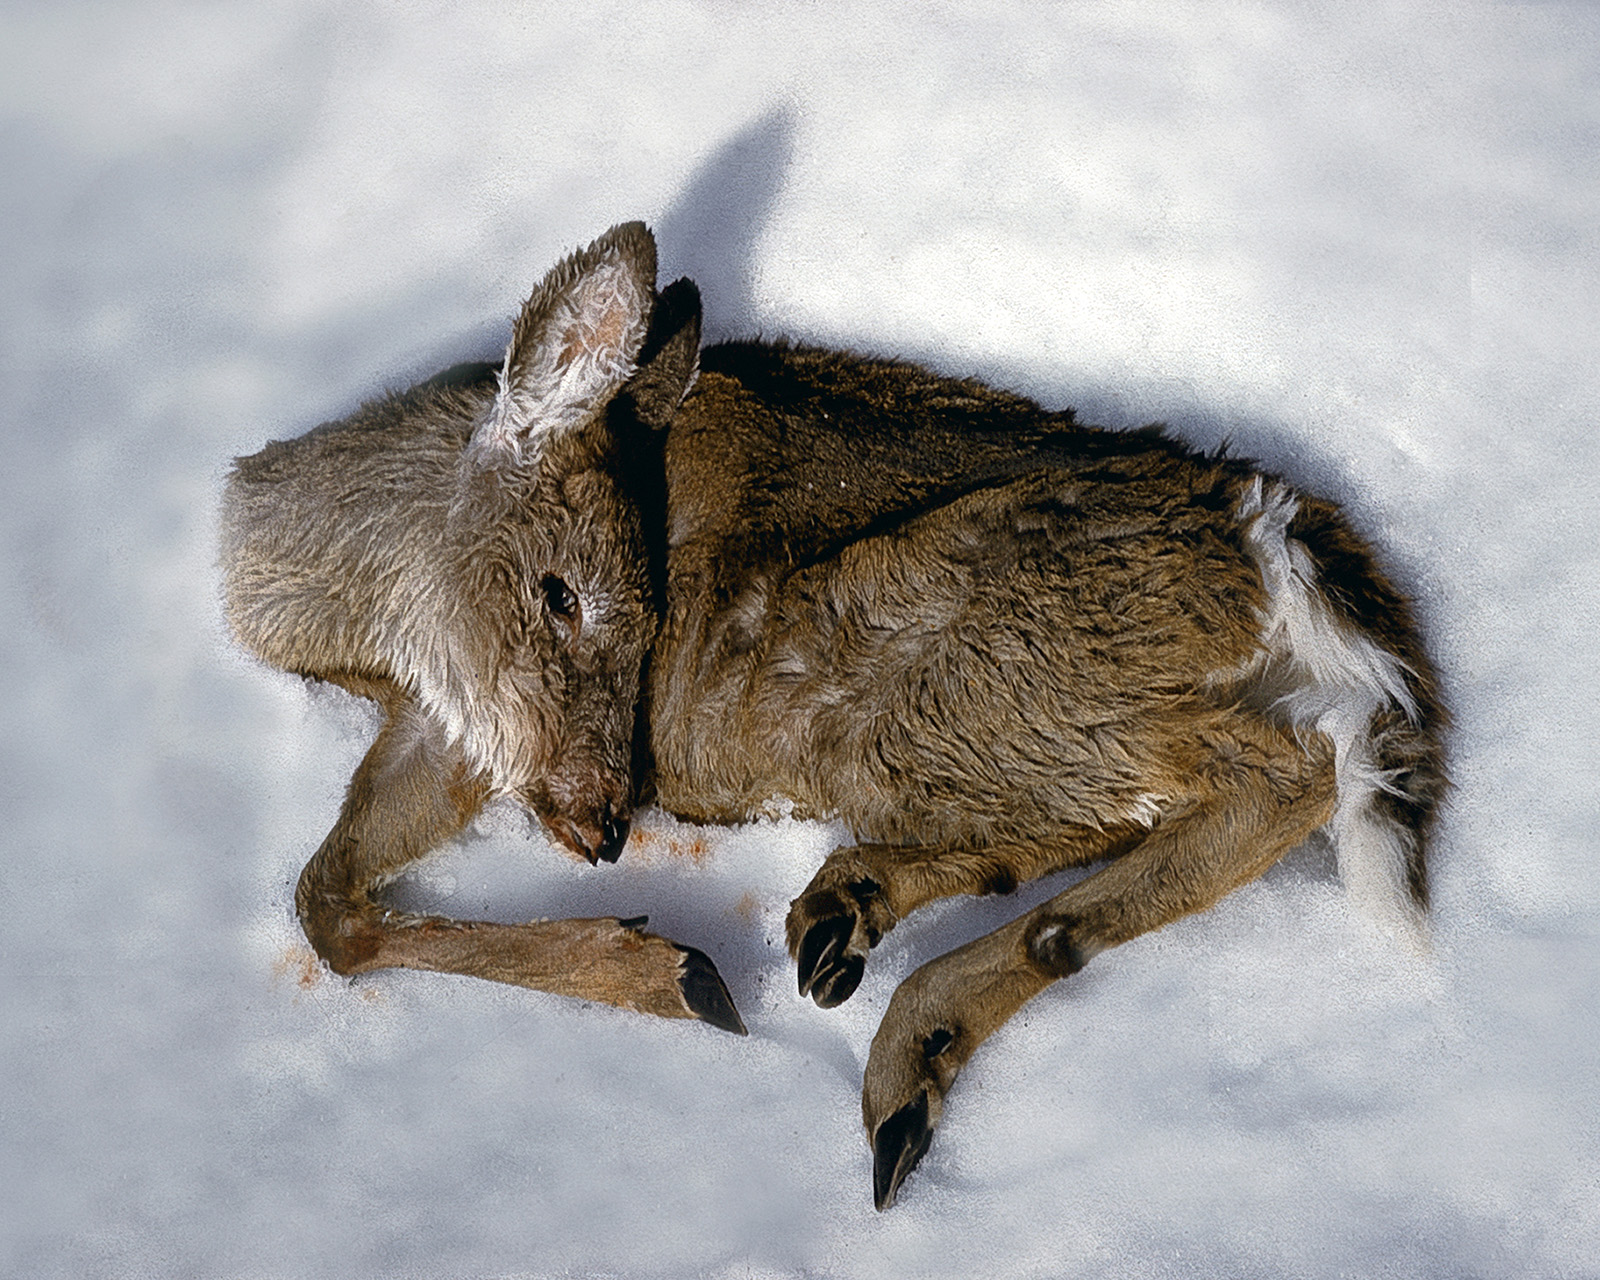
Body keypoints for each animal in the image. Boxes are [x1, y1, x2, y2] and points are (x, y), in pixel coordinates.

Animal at [221, 222, 1448, 1210]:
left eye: (597, 600)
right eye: (560, 595)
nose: (606, 826)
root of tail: (1273, 529)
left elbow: (324, 907)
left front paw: (672, 974)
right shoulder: (446, 725)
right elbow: (327, 901)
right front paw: (669, 964)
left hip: (913, 672)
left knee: (1283, 767)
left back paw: (882, 1008)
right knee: (1114, 823)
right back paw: (866, 964)